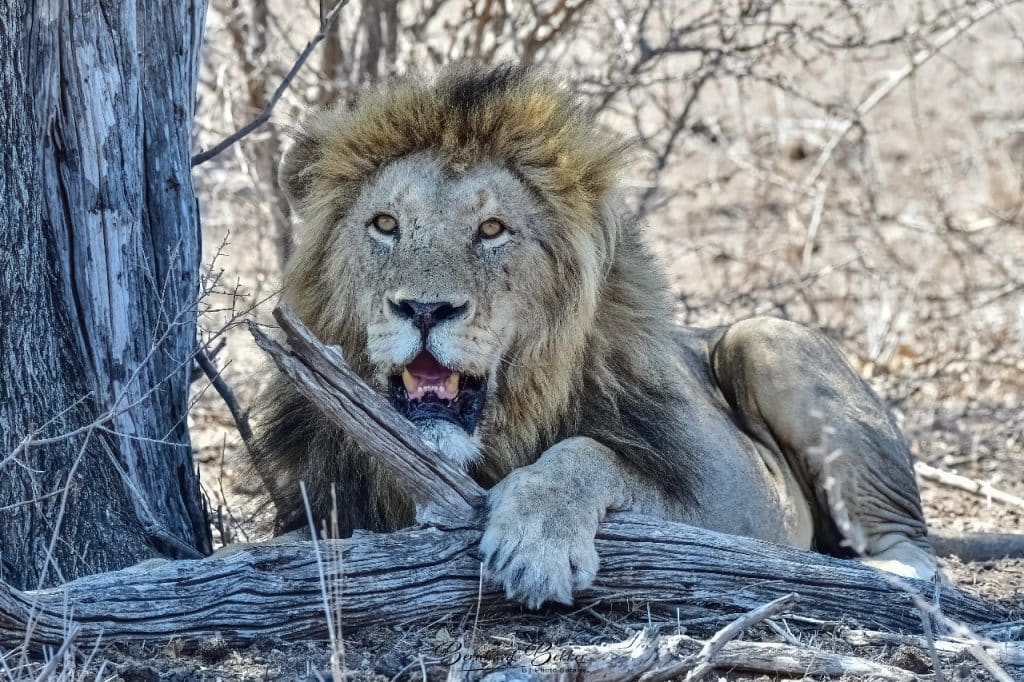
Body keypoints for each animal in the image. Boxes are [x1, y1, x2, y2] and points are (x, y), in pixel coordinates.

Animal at [253, 64, 938, 608]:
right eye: (385, 224)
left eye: (493, 229)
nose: (424, 308)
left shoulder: (736, 501)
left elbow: (588, 452)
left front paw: (536, 544)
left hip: (765, 338)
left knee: (913, 543)